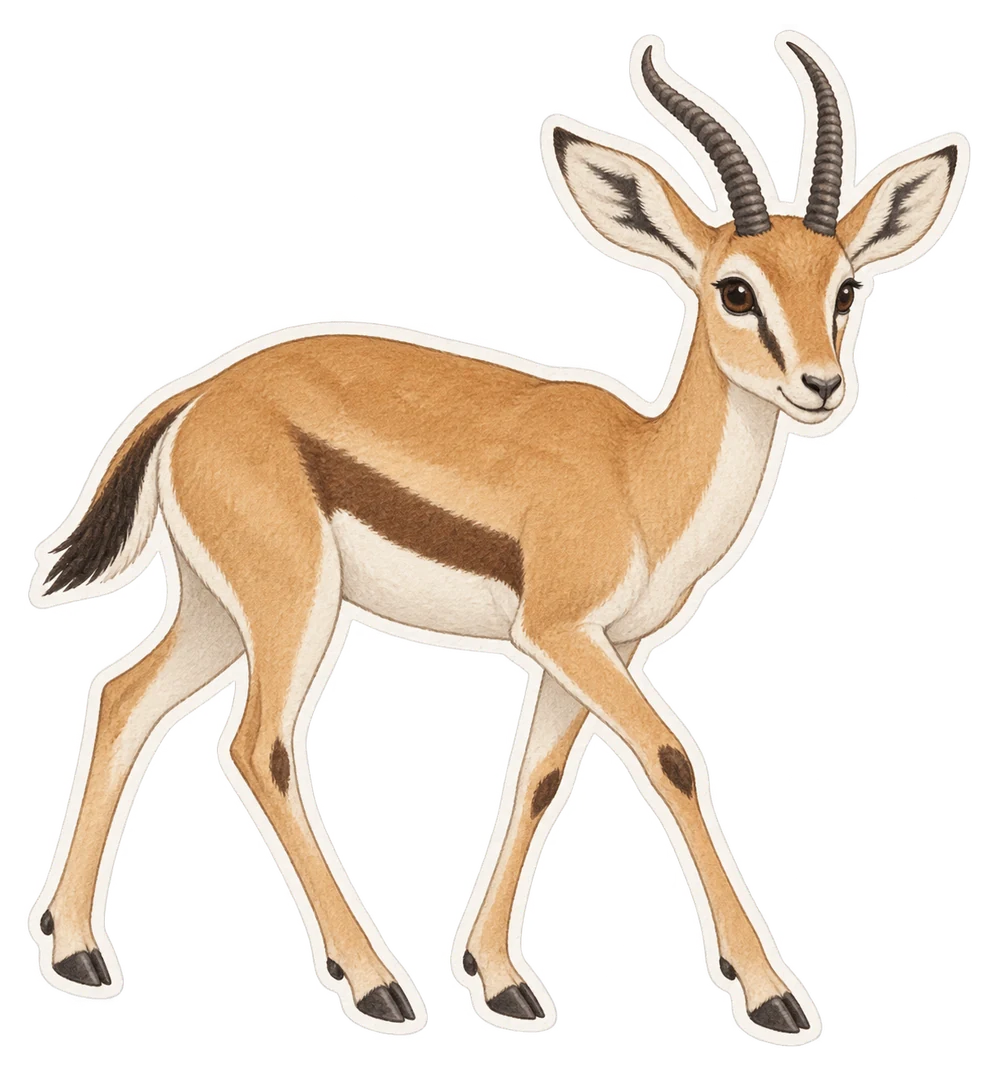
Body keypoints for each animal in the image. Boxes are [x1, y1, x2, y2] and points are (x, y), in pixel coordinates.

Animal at [27, 32, 966, 1041]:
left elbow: (541, 779)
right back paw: (375, 982)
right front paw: (772, 995)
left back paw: (77, 951)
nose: (823, 387)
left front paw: (501, 979)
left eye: (845, 287)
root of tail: (199, 396)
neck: (639, 473)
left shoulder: (598, 646)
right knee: (260, 747)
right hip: (292, 604)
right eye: (736, 290)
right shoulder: (560, 630)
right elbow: (672, 758)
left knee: (122, 698)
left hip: (217, 608)